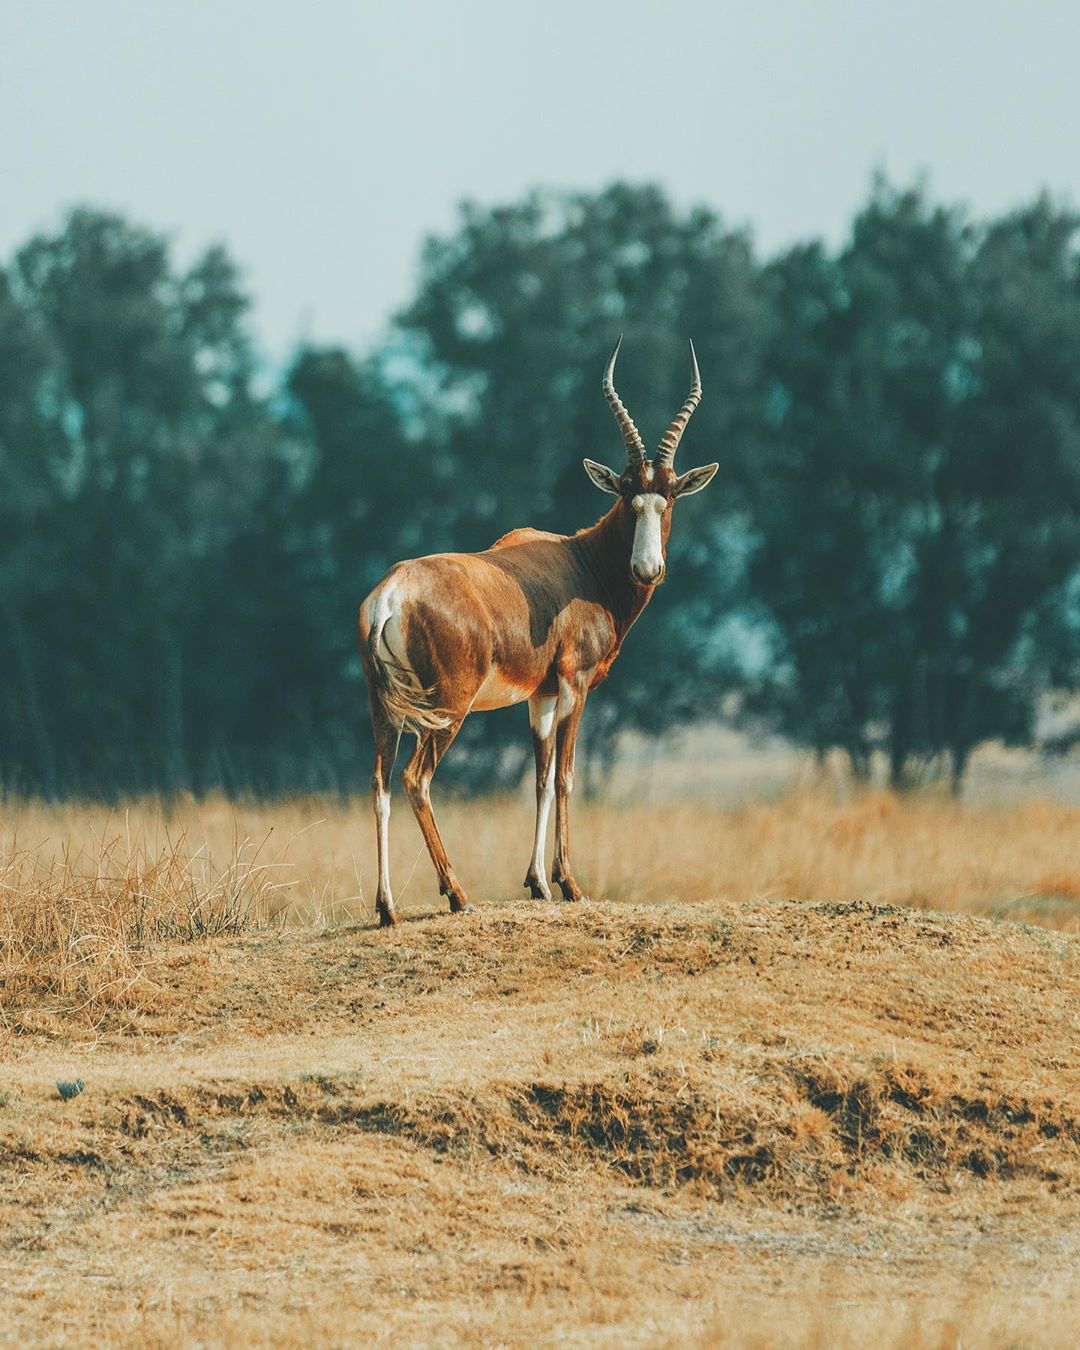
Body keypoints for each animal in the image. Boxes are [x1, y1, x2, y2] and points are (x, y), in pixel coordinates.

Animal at [359, 340, 723, 928]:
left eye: (669, 496)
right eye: (627, 495)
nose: (647, 569)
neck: (579, 562)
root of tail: (392, 595)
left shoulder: (541, 697)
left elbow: (540, 780)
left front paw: (538, 884)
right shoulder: (574, 685)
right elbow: (567, 777)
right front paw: (570, 883)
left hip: (383, 707)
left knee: (380, 784)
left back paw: (388, 907)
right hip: (447, 707)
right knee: (416, 779)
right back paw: (457, 893)